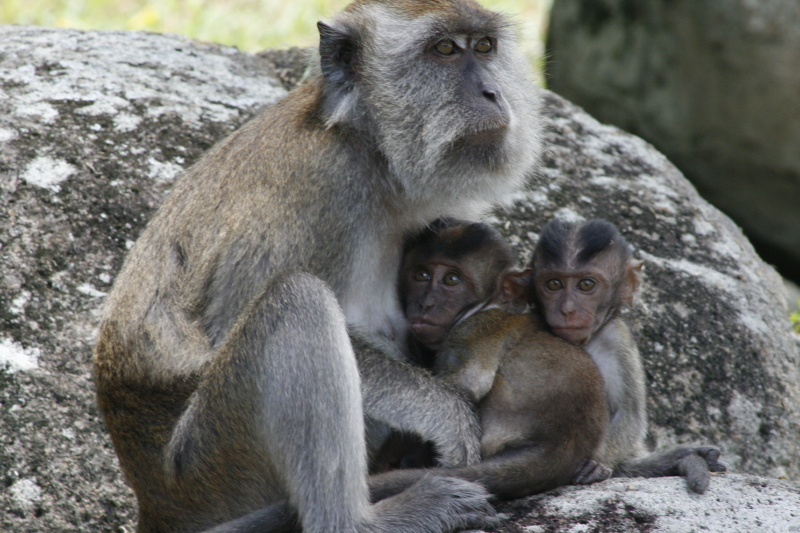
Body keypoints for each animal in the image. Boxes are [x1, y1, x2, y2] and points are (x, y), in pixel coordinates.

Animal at [368, 218, 608, 500]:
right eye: (421, 275)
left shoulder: (472, 329)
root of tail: (563, 447)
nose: (426, 303)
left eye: (451, 280)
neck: (486, 306)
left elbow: (467, 386)